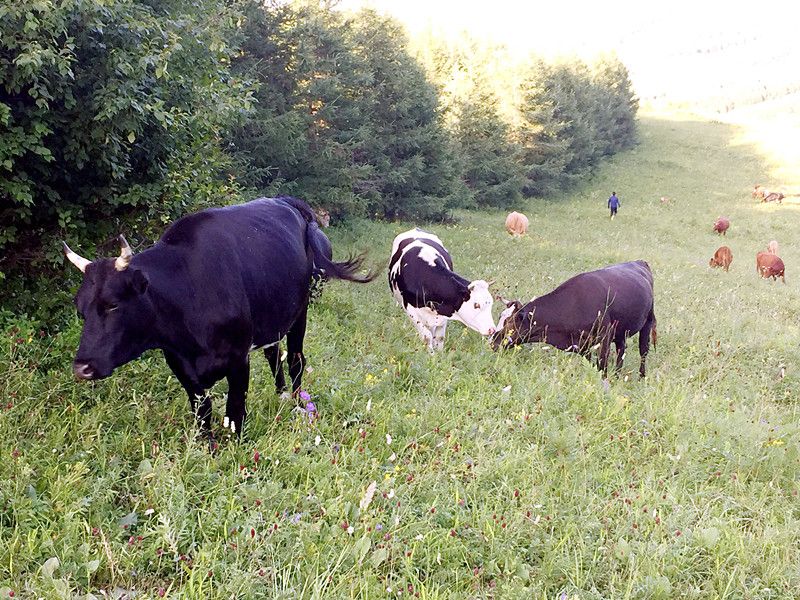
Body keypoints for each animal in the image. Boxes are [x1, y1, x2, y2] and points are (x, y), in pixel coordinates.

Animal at [62, 197, 376, 436]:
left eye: (113, 304)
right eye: (80, 309)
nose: (82, 368)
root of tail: (286, 201)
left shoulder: (238, 359)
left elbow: (235, 411)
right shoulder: (180, 363)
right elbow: (203, 412)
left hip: (300, 312)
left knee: (296, 361)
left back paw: (297, 403)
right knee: (274, 355)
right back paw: (281, 393)